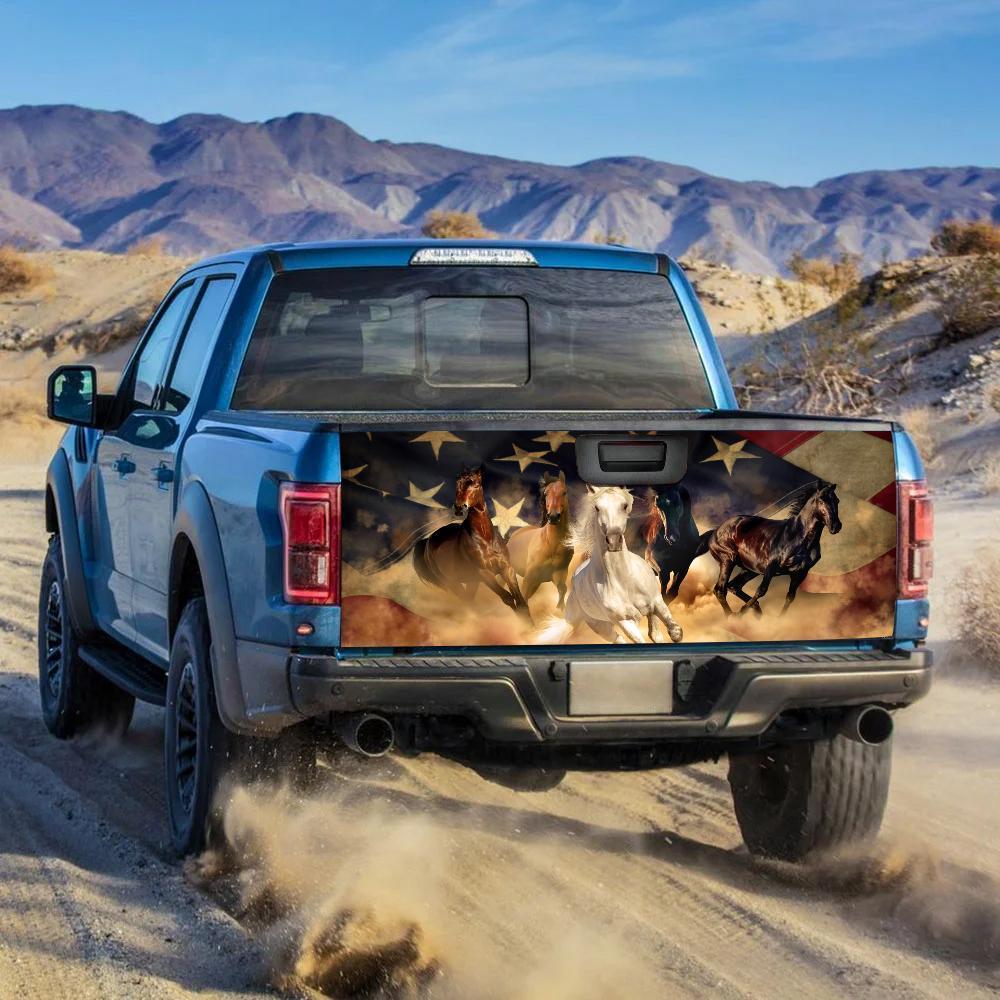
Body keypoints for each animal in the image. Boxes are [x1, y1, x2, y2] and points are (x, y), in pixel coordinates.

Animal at [413, 466, 532, 621]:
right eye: (457, 483)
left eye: (475, 484)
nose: (459, 508)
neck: (486, 539)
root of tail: (428, 541)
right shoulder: (484, 573)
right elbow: (508, 598)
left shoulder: (507, 569)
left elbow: (521, 603)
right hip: (452, 583)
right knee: (468, 603)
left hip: (471, 582)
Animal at [507, 470, 572, 608]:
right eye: (546, 493)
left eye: (564, 492)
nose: (553, 516)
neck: (551, 544)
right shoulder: (530, 577)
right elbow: (523, 598)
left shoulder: (559, 574)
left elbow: (563, 591)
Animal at [535, 485, 683, 645]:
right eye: (597, 507)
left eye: (624, 505)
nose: (613, 541)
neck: (625, 581)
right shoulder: (624, 622)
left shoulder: (656, 602)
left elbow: (670, 626)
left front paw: (675, 634)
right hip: (601, 626)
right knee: (619, 640)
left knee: (654, 634)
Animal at [706, 482, 842, 616]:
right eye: (821, 500)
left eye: (837, 500)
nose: (836, 526)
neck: (799, 538)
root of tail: (716, 530)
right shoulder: (771, 566)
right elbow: (761, 591)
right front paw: (742, 612)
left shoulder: (800, 573)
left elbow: (790, 597)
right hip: (727, 560)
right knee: (720, 590)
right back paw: (734, 616)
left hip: (750, 569)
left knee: (733, 586)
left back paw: (756, 610)